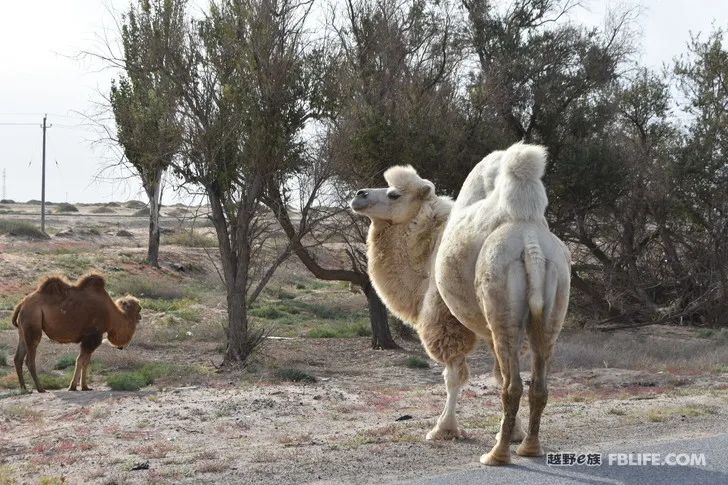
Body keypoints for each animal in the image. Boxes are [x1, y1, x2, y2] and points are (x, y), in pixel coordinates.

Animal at [11, 274, 141, 392]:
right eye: (139, 308)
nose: (140, 317)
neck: (111, 315)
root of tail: (22, 303)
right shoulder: (92, 336)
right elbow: (80, 360)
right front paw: (73, 386)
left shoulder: (88, 338)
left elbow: (85, 361)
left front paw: (85, 387)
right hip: (33, 324)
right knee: (29, 359)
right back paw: (40, 388)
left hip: (23, 329)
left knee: (18, 358)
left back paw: (24, 389)